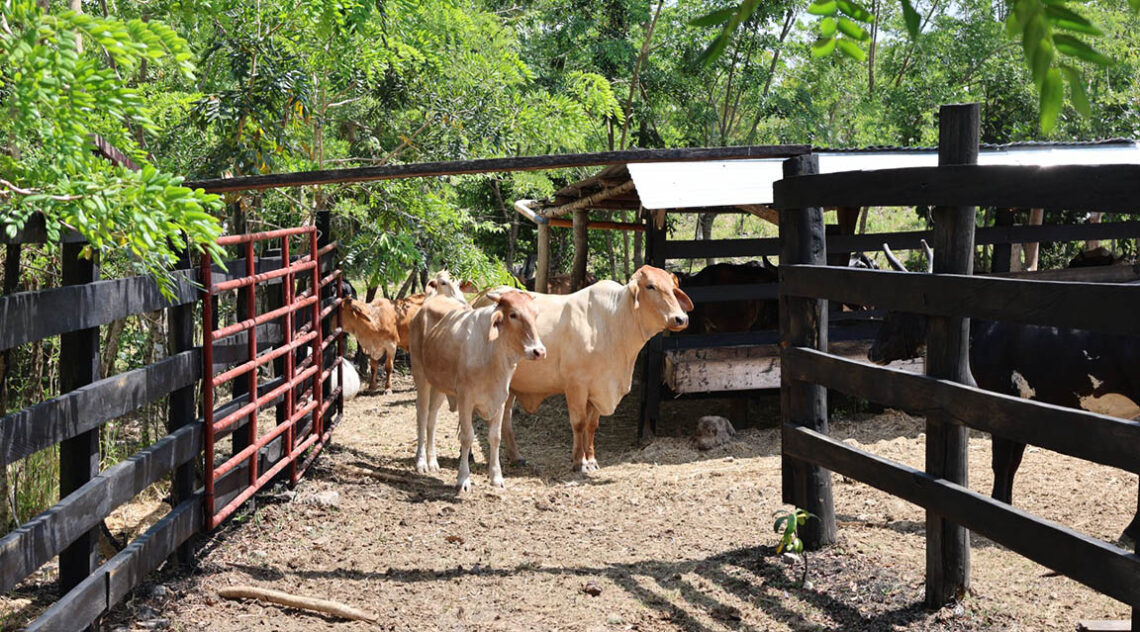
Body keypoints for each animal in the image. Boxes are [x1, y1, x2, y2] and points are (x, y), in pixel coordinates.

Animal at [408, 290, 546, 491]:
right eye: (513, 315)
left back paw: (432, 461)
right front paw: (463, 479)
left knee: (432, 419)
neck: (492, 354)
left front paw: (496, 477)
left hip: (439, 384)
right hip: (421, 375)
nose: (539, 351)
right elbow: (467, 436)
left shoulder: (500, 400)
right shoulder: (465, 399)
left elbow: (495, 437)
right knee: (422, 416)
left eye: (536, 315)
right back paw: (421, 463)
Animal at [475, 265, 693, 472]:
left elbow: (591, 425)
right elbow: (579, 423)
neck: (614, 321)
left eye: (673, 288)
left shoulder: (598, 388)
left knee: (505, 418)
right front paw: (579, 462)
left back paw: (516, 457)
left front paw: (592, 460)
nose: (680, 319)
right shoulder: (576, 386)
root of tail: (481, 296)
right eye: (650, 286)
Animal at [868, 244, 1140, 544]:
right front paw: (1007, 504)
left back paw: (1131, 533)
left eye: (894, 311)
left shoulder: (997, 399)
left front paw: (996, 504)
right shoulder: (1022, 405)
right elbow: (1013, 461)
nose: (872, 352)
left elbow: (1000, 459)